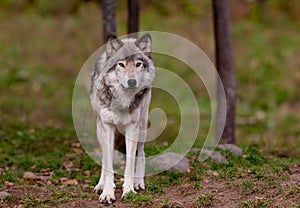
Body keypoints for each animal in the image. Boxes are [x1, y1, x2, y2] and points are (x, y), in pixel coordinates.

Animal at [89, 33, 155, 204]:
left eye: (138, 64)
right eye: (121, 64)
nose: (132, 81)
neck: (122, 99)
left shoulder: (132, 127)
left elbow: (130, 163)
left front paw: (129, 190)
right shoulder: (107, 127)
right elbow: (108, 165)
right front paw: (107, 192)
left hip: (142, 126)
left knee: (141, 153)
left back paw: (138, 182)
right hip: (99, 130)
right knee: (105, 158)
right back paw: (100, 185)